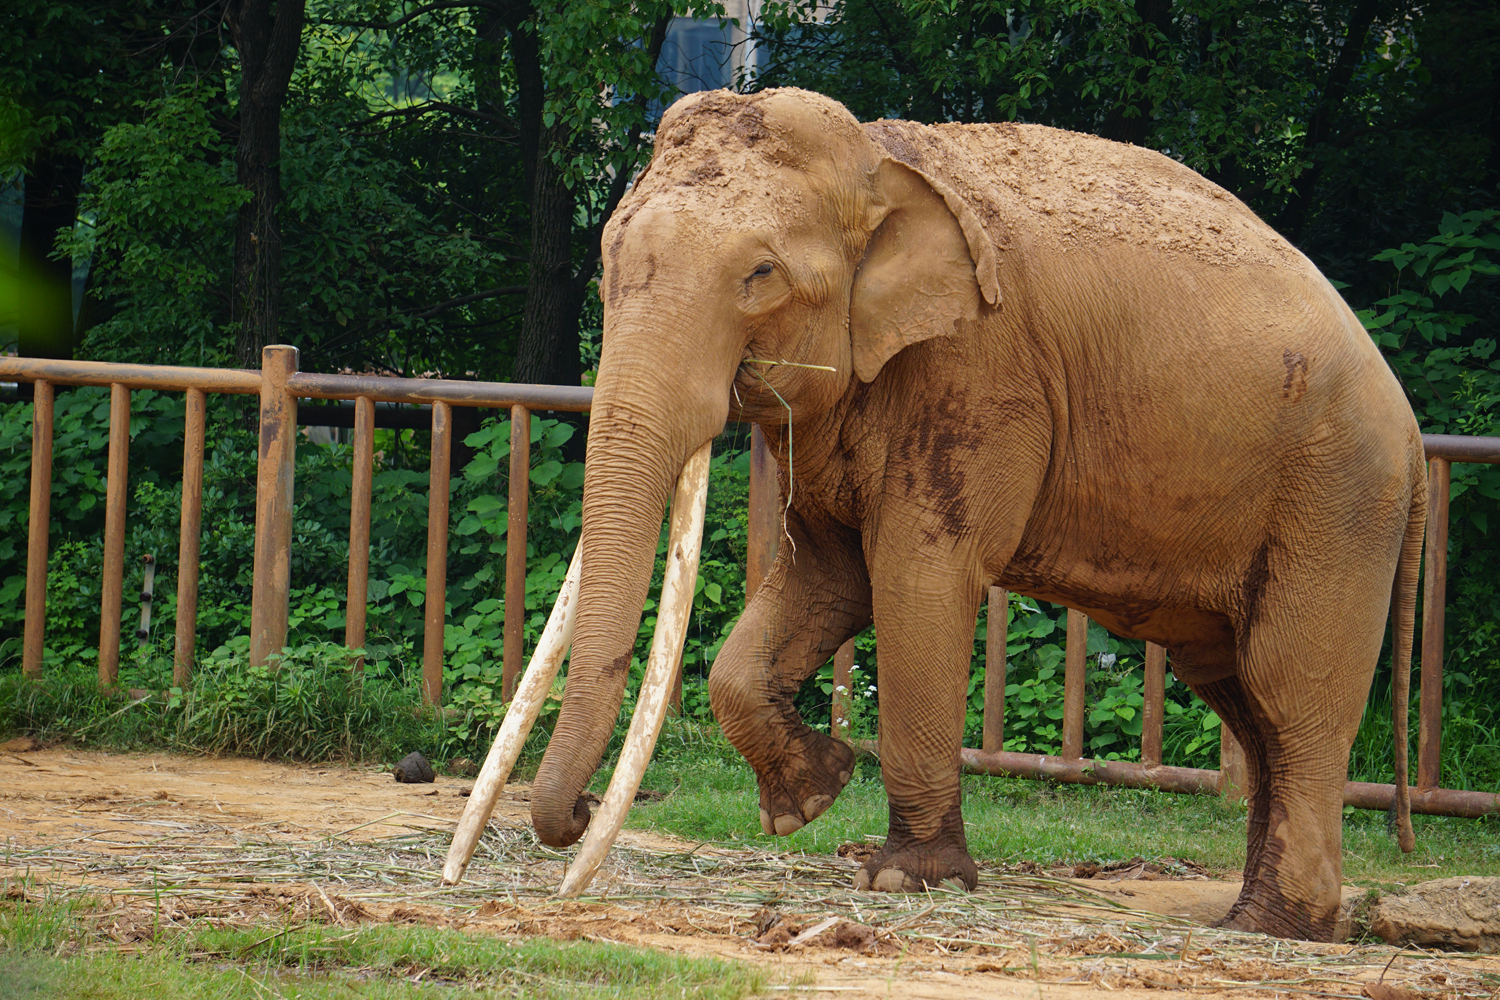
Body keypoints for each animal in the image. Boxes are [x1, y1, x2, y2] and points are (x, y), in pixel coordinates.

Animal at [528, 86, 1426, 943]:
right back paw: (1255, 914)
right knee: (1239, 691)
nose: (580, 816)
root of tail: (1415, 434)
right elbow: (825, 578)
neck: (881, 157)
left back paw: (1273, 927)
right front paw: (812, 795)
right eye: (606, 263)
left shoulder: (976, 373)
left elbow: (917, 581)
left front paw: (904, 877)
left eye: (760, 275)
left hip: (1337, 499)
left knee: (1289, 689)